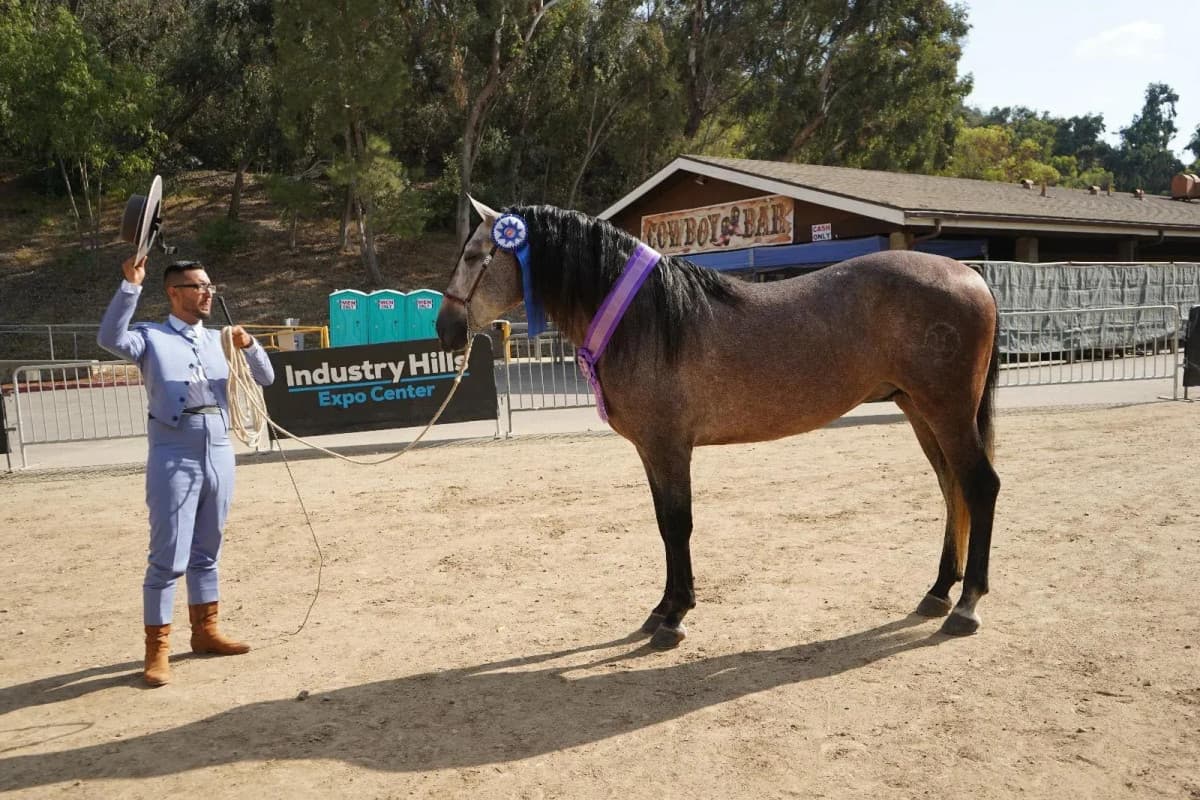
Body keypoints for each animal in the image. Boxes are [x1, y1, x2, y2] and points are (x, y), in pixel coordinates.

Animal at [436, 198, 1000, 649]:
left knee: (980, 487)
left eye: (474, 256)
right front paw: (662, 609)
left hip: (947, 410)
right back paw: (938, 592)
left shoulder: (669, 446)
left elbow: (678, 524)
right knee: (951, 488)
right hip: (919, 410)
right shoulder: (651, 449)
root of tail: (971, 276)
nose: (445, 330)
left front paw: (675, 619)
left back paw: (967, 605)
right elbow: (664, 525)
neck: (646, 318)